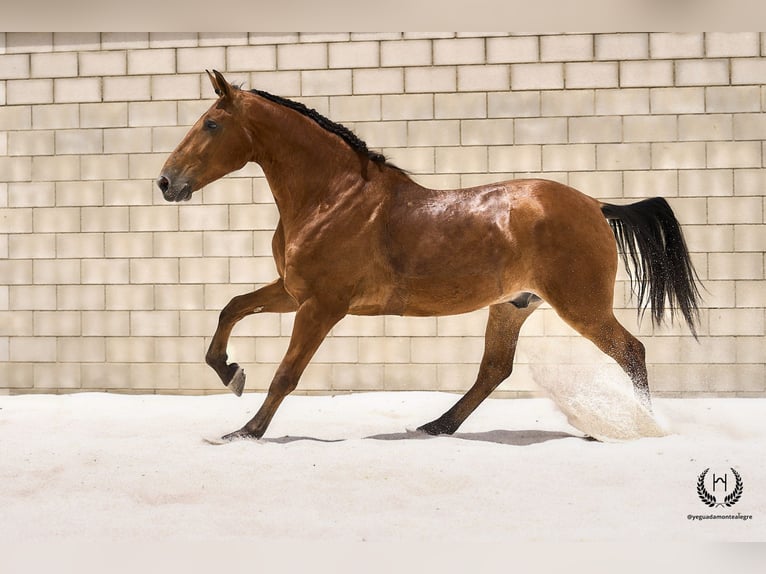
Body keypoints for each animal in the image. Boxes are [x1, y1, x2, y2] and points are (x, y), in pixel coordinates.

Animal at [158, 71, 704, 440]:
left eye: (211, 124)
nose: (166, 182)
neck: (333, 198)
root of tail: (595, 205)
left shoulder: (322, 305)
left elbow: (286, 373)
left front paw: (244, 432)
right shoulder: (294, 293)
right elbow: (231, 308)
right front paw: (230, 373)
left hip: (581, 305)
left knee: (631, 351)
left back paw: (643, 426)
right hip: (513, 306)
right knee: (494, 370)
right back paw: (436, 425)